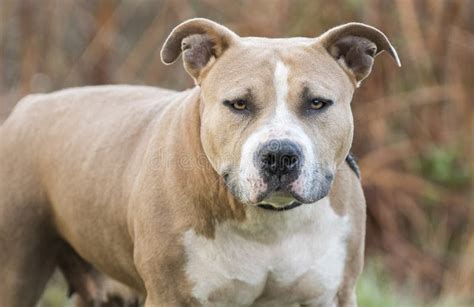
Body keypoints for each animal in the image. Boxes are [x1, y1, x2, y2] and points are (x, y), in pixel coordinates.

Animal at [0, 18, 400, 306]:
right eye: (238, 104)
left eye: (317, 103)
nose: (279, 155)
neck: (268, 222)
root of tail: (29, 105)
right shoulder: (171, 296)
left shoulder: (334, 294)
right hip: (16, 271)